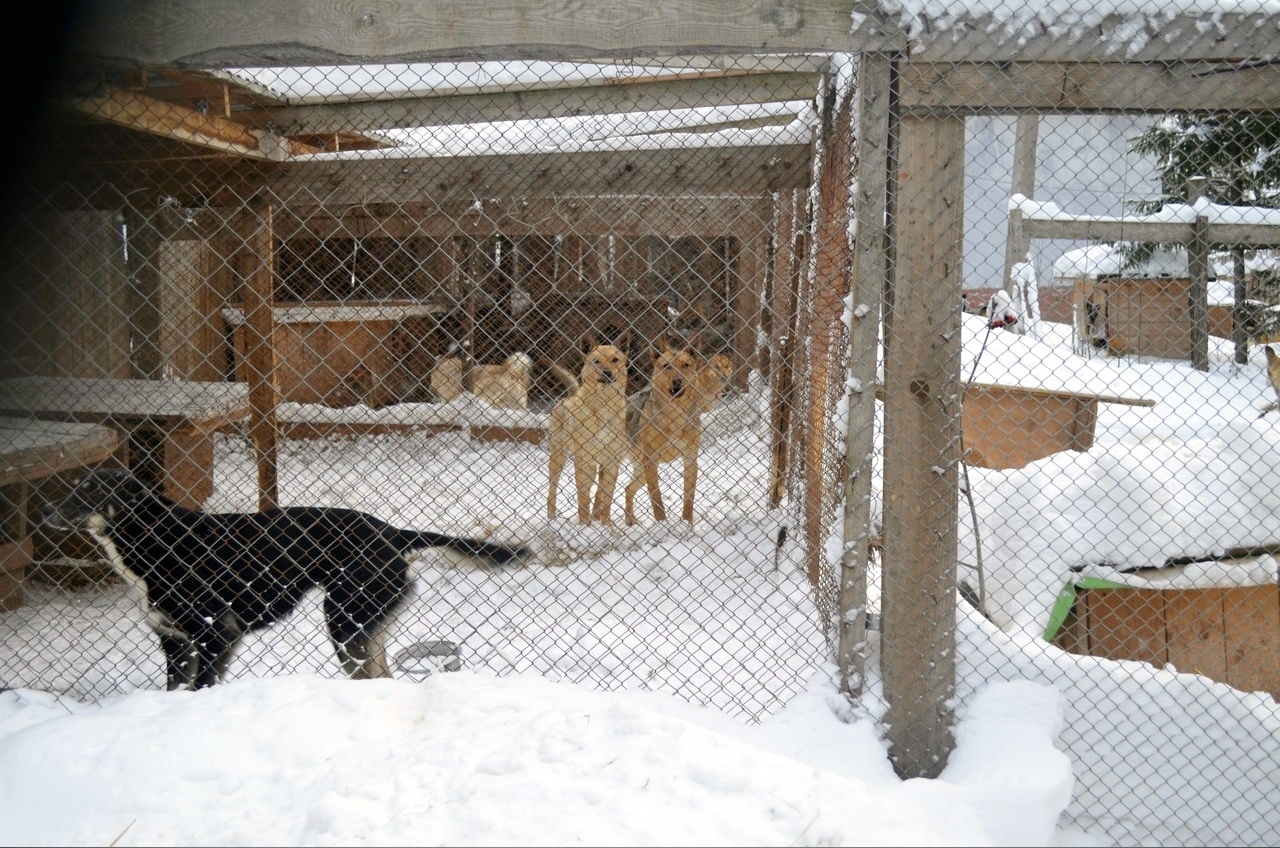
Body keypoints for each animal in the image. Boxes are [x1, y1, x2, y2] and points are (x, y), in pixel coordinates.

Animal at [43, 468, 524, 696]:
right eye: (74, 484)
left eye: (91, 490)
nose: (44, 510)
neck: (155, 538)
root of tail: (391, 532)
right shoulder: (175, 642)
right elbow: (176, 689)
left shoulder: (217, 631)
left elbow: (200, 687)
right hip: (365, 624)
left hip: (344, 619)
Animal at [545, 338, 629, 525]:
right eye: (596, 361)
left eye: (615, 360)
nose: (607, 373)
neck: (604, 404)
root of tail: (566, 398)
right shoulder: (584, 460)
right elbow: (583, 498)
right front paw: (585, 526)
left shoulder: (612, 462)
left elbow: (607, 500)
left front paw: (606, 526)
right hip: (558, 456)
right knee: (552, 489)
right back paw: (552, 518)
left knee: (599, 494)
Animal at [622, 338, 732, 525]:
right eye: (666, 366)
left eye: (686, 365)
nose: (677, 381)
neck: (676, 415)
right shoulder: (651, 461)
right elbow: (656, 500)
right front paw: (662, 525)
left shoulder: (690, 459)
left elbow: (688, 500)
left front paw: (687, 526)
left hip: (640, 469)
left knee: (627, 488)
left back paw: (629, 520)